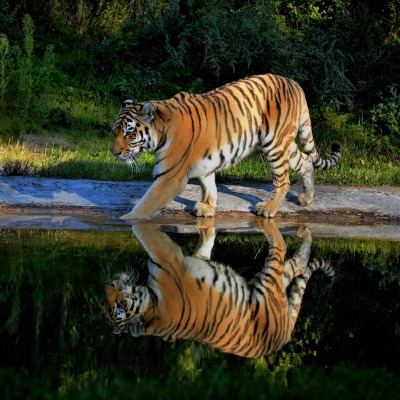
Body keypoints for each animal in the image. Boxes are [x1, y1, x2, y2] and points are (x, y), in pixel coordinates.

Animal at [102, 220, 332, 358]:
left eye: (119, 304)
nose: (108, 285)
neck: (151, 308)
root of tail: (282, 340)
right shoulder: (170, 259)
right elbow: (145, 231)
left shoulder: (175, 260)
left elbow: (203, 240)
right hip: (270, 285)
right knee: (287, 253)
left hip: (267, 283)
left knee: (295, 260)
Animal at [110, 73, 340, 220]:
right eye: (115, 131)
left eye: (129, 133)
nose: (114, 152)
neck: (162, 131)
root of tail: (294, 83)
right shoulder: (206, 160)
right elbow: (207, 183)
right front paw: (207, 206)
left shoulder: (170, 177)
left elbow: (146, 204)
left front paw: (126, 220)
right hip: (282, 144)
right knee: (306, 160)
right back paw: (307, 198)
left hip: (275, 145)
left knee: (283, 180)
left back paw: (268, 208)